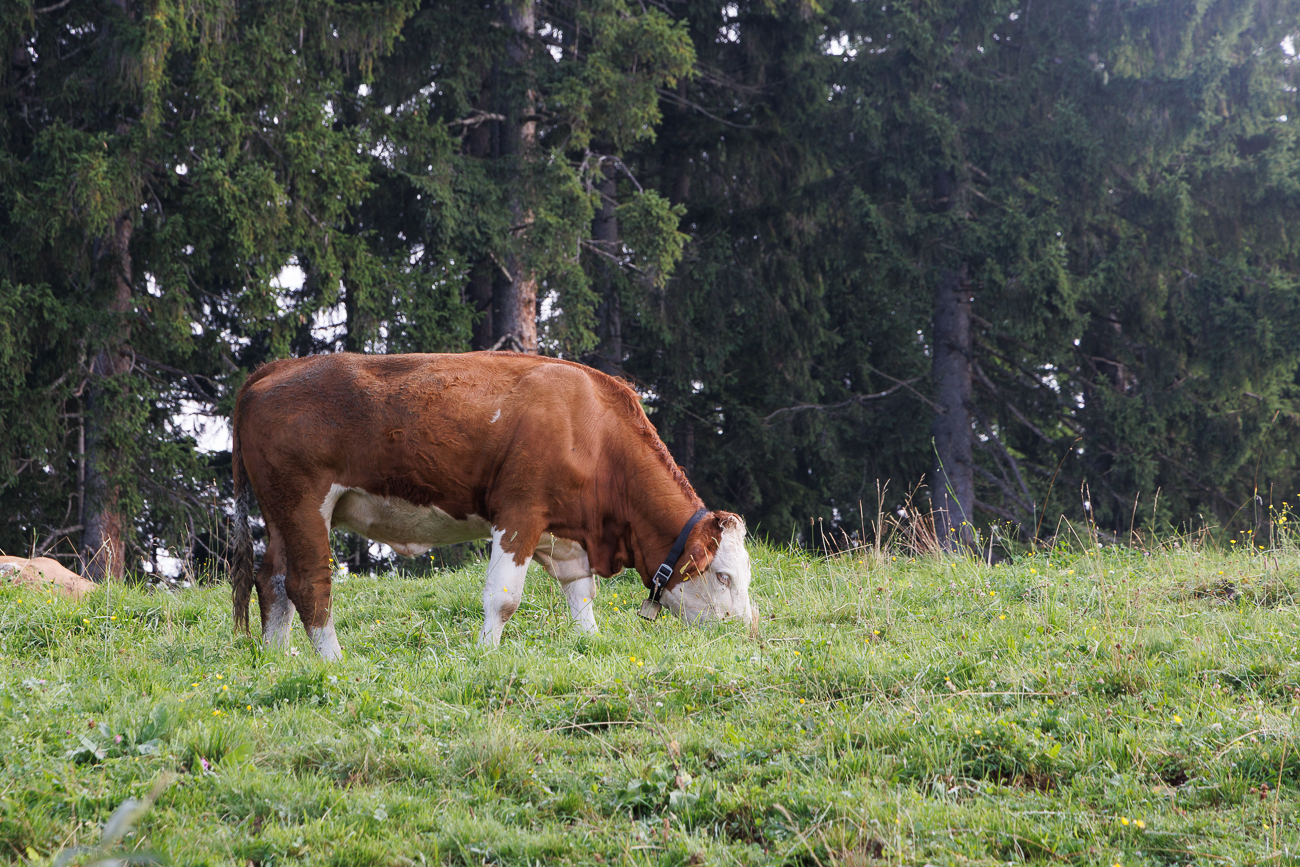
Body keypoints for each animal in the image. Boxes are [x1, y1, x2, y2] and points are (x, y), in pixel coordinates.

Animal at [229, 352, 753, 659]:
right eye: (723, 576)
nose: (747, 631)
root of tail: (275, 368)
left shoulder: (568, 535)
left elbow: (581, 599)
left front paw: (590, 644)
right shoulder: (520, 512)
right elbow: (503, 598)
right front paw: (486, 656)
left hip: (280, 513)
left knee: (272, 579)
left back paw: (278, 661)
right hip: (303, 504)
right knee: (308, 584)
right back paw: (333, 662)